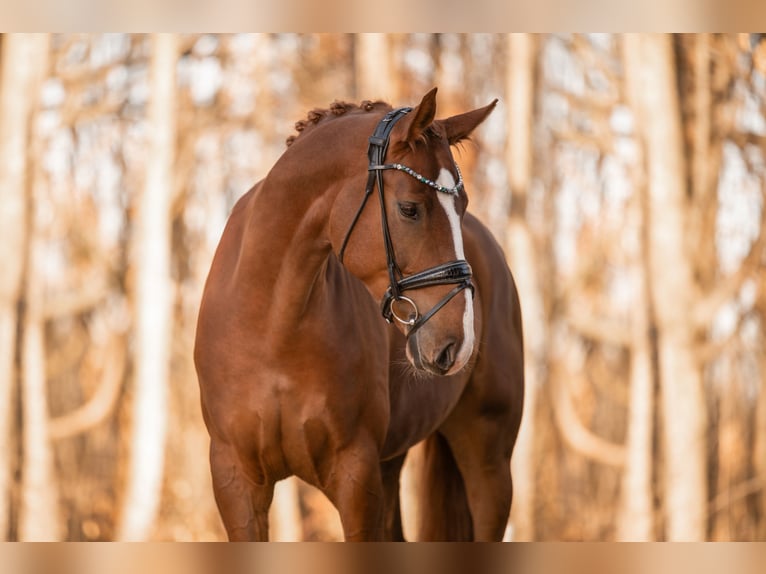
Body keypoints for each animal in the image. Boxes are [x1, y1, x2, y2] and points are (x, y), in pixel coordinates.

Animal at [195, 88, 524, 544]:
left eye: (461, 206)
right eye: (409, 208)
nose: (457, 344)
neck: (271, 326)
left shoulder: (355, 476)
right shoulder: (236, 481)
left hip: (489, 461)